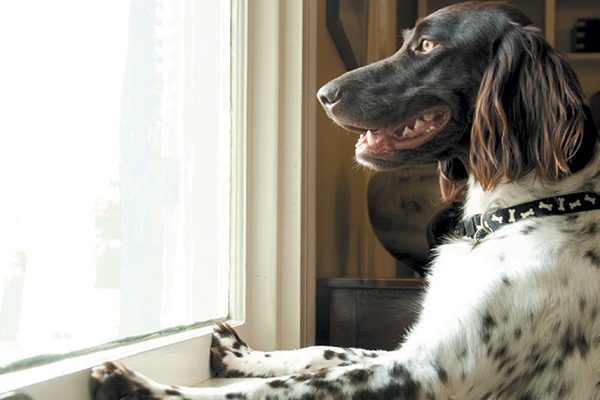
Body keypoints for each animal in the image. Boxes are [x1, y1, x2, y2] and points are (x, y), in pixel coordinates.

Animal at [90, 1, 600, 398]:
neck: (519, 211)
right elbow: (322, 350)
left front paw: (143, 387)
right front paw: (244, 355)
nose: (323, 94)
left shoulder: (428, 371)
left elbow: (280, 389)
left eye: (427, 46)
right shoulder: (410, 351)